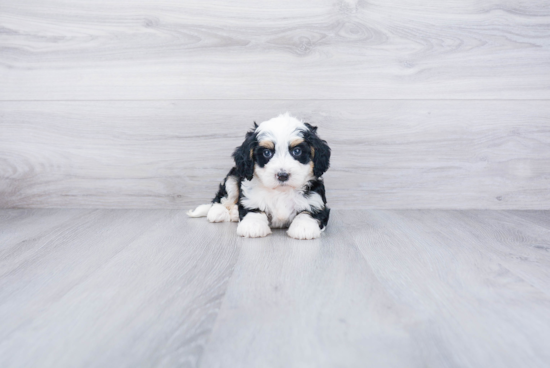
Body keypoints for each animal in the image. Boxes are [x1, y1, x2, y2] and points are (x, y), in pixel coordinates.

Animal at [188, 113, 330, 240]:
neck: (281, 191)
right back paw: (218, 211)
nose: (282, 175)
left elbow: (308, 213)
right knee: (221, 198)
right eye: (267, 153)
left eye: (297, 151)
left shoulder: (316, 201)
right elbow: (253, 209)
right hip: (233, 178)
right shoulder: (251, 197)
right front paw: (253, 225)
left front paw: (304, 227)